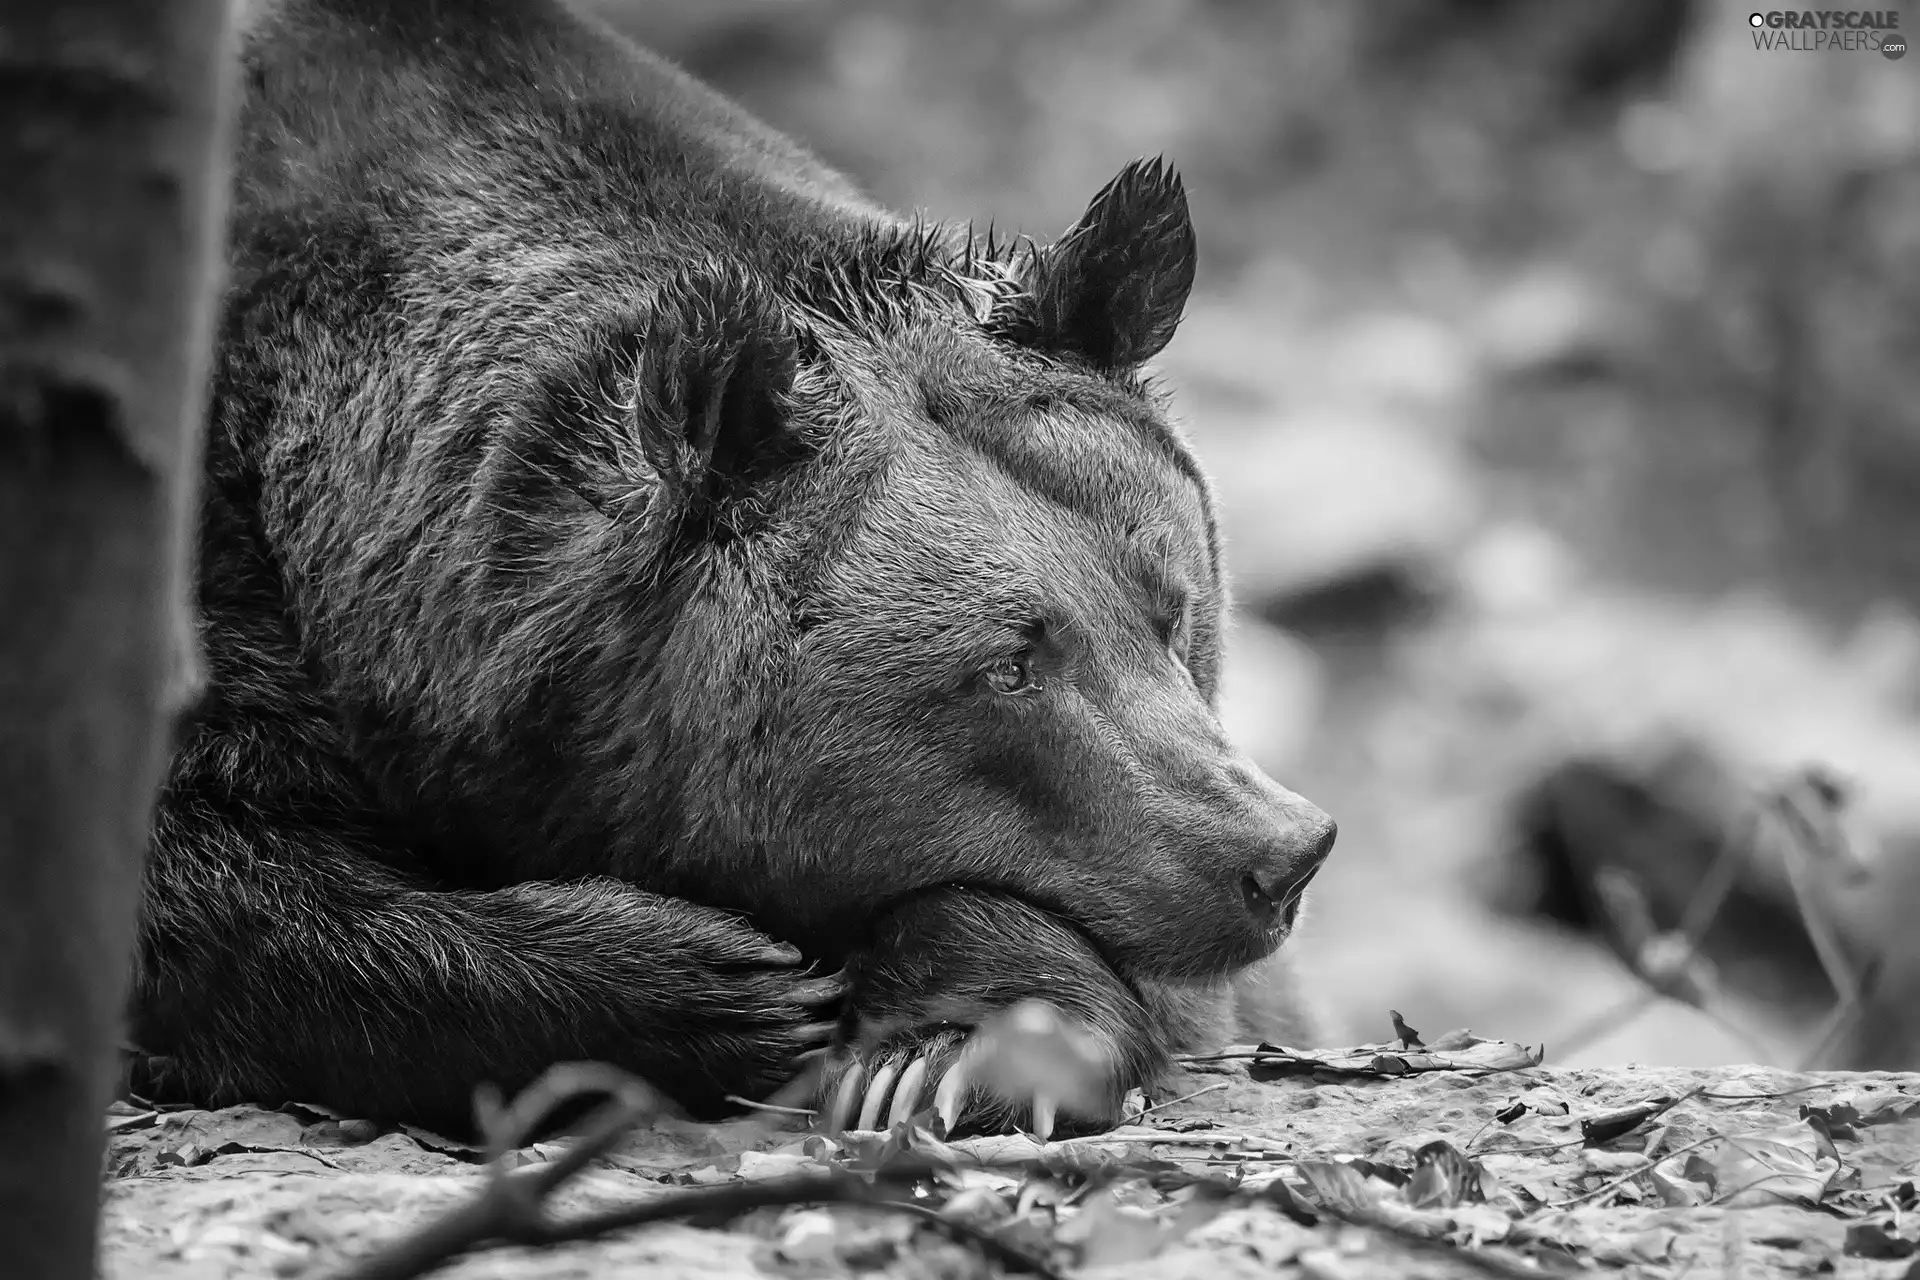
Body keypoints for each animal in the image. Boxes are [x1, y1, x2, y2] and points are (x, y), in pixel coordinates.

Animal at [131, 0, 1336, 1143]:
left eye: (1174, 608)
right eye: (1007, 666)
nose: (1278, 853)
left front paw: (948, 1049)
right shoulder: (211, 560)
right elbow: (208, 878)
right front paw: (716, 983)